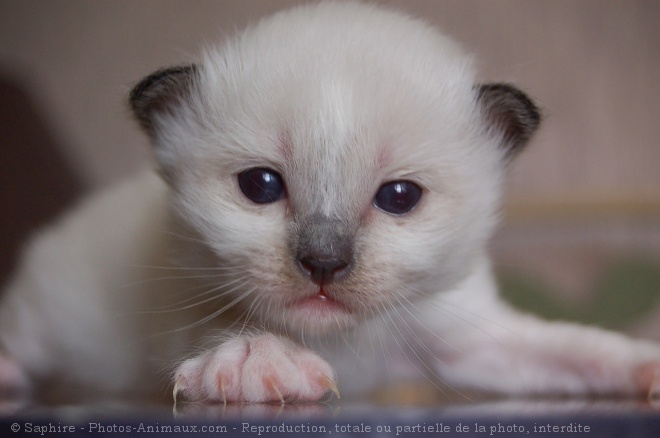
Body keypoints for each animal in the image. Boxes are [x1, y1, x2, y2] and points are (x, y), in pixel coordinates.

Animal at [1, 0, 660, 408]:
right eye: (261, 186)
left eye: (400, 197)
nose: (323, 263)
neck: (343, 341)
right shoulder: (181, 294)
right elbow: (218, 323)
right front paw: (254, 357)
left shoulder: (467, 339)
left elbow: (575, 351)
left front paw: (644, 366)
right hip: (41, 313)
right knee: (22, 341)